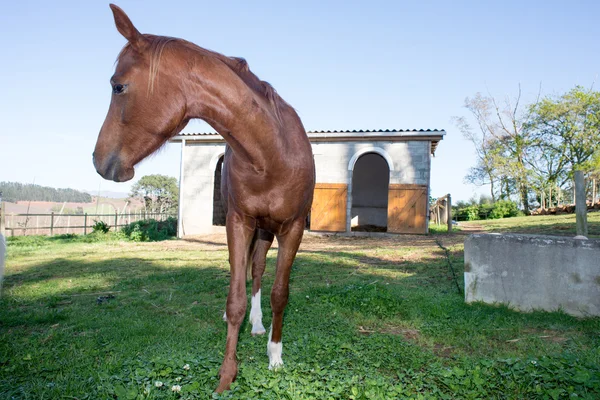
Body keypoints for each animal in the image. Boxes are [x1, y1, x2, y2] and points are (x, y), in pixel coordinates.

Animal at [92, 3, 314, 394]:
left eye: (118, 86)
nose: (97, 160)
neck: (271, 152)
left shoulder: (293, 228)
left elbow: (280, 293)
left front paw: (275, 357)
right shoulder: (238, 222)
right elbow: (236, 297)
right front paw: (227, 374)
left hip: (268, 230)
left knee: (259, 272)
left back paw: (261, 328)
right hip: (253, 228)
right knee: (248, 272)